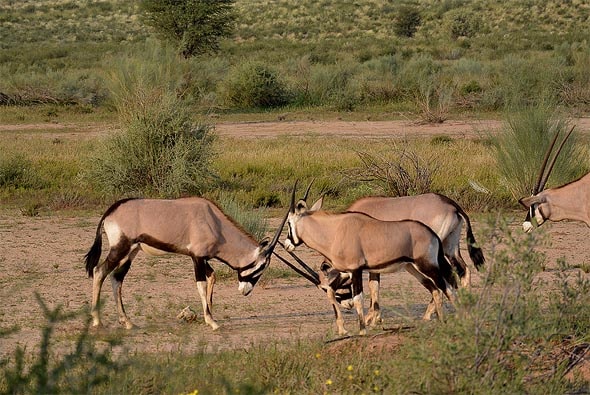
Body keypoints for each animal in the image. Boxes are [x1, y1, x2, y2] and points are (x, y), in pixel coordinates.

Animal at [85, 197, 286, 332]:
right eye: (261, 267)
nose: (245, 291)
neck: (215, 222)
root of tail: (111, 211)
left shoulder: (201, 258)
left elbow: (212, 277)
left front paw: (209, 315)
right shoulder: (197, 257)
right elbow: (201, 285)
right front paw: (212, 322)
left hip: (131, 252)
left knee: (116, 278)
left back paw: (126, 321)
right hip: (120, 249)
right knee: (99, 271)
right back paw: (97, 321)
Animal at [284, 184, 460, 336]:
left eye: (289, 223)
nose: (286, 244)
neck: (334, 231)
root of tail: (431, 233)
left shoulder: (355, 270)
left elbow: (358, 298)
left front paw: (362, 330)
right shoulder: (349, 272)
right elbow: (338, 292)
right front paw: (348, 328)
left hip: (427, 265)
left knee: (447, 287)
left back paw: (459, 317)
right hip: (414, 267)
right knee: (436, 288)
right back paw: (441, 321)